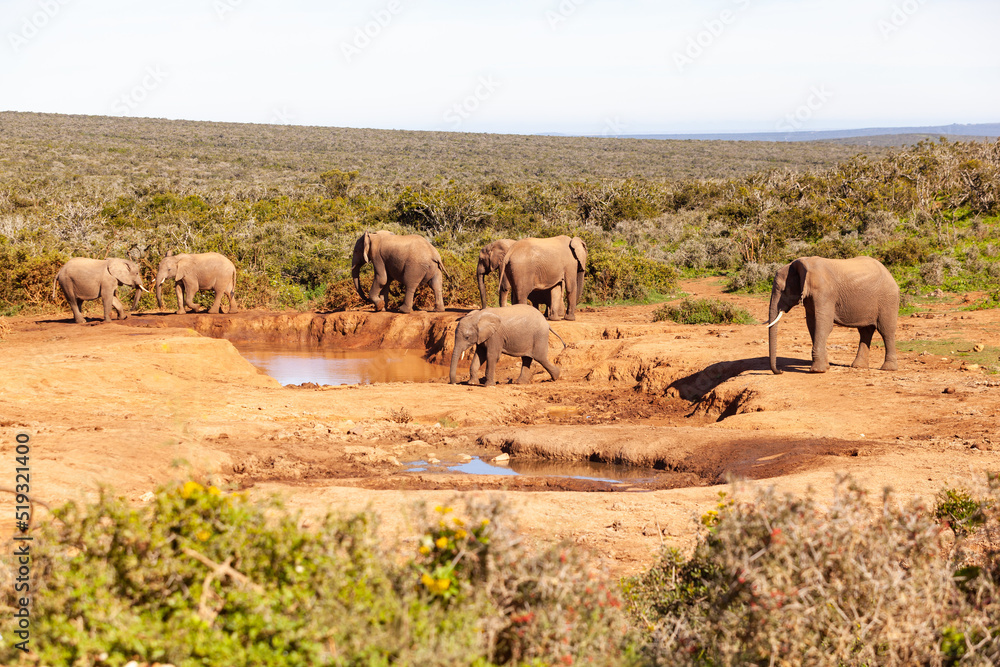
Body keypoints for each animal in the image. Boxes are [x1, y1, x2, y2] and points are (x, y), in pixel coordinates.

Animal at [765, 256, 899, 374]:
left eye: (783, 290)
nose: (781, 371)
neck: (803, 263)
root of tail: (888, 273)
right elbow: (812, 325)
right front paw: (825, 367)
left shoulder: (824, 293)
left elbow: (824, 325)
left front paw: (817, 371)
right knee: (865, 331)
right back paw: (858, 366)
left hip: (888, 299)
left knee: (886, 331)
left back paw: (888, 369)